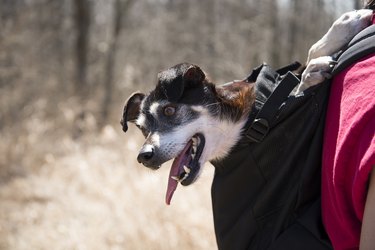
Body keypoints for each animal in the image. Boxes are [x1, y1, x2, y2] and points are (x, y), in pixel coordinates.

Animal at [121, 9, 374, 205]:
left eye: (169, 110)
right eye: (142, 129)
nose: (144, 156)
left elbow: (310, 53)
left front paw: (343, 27)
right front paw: (311, 73)